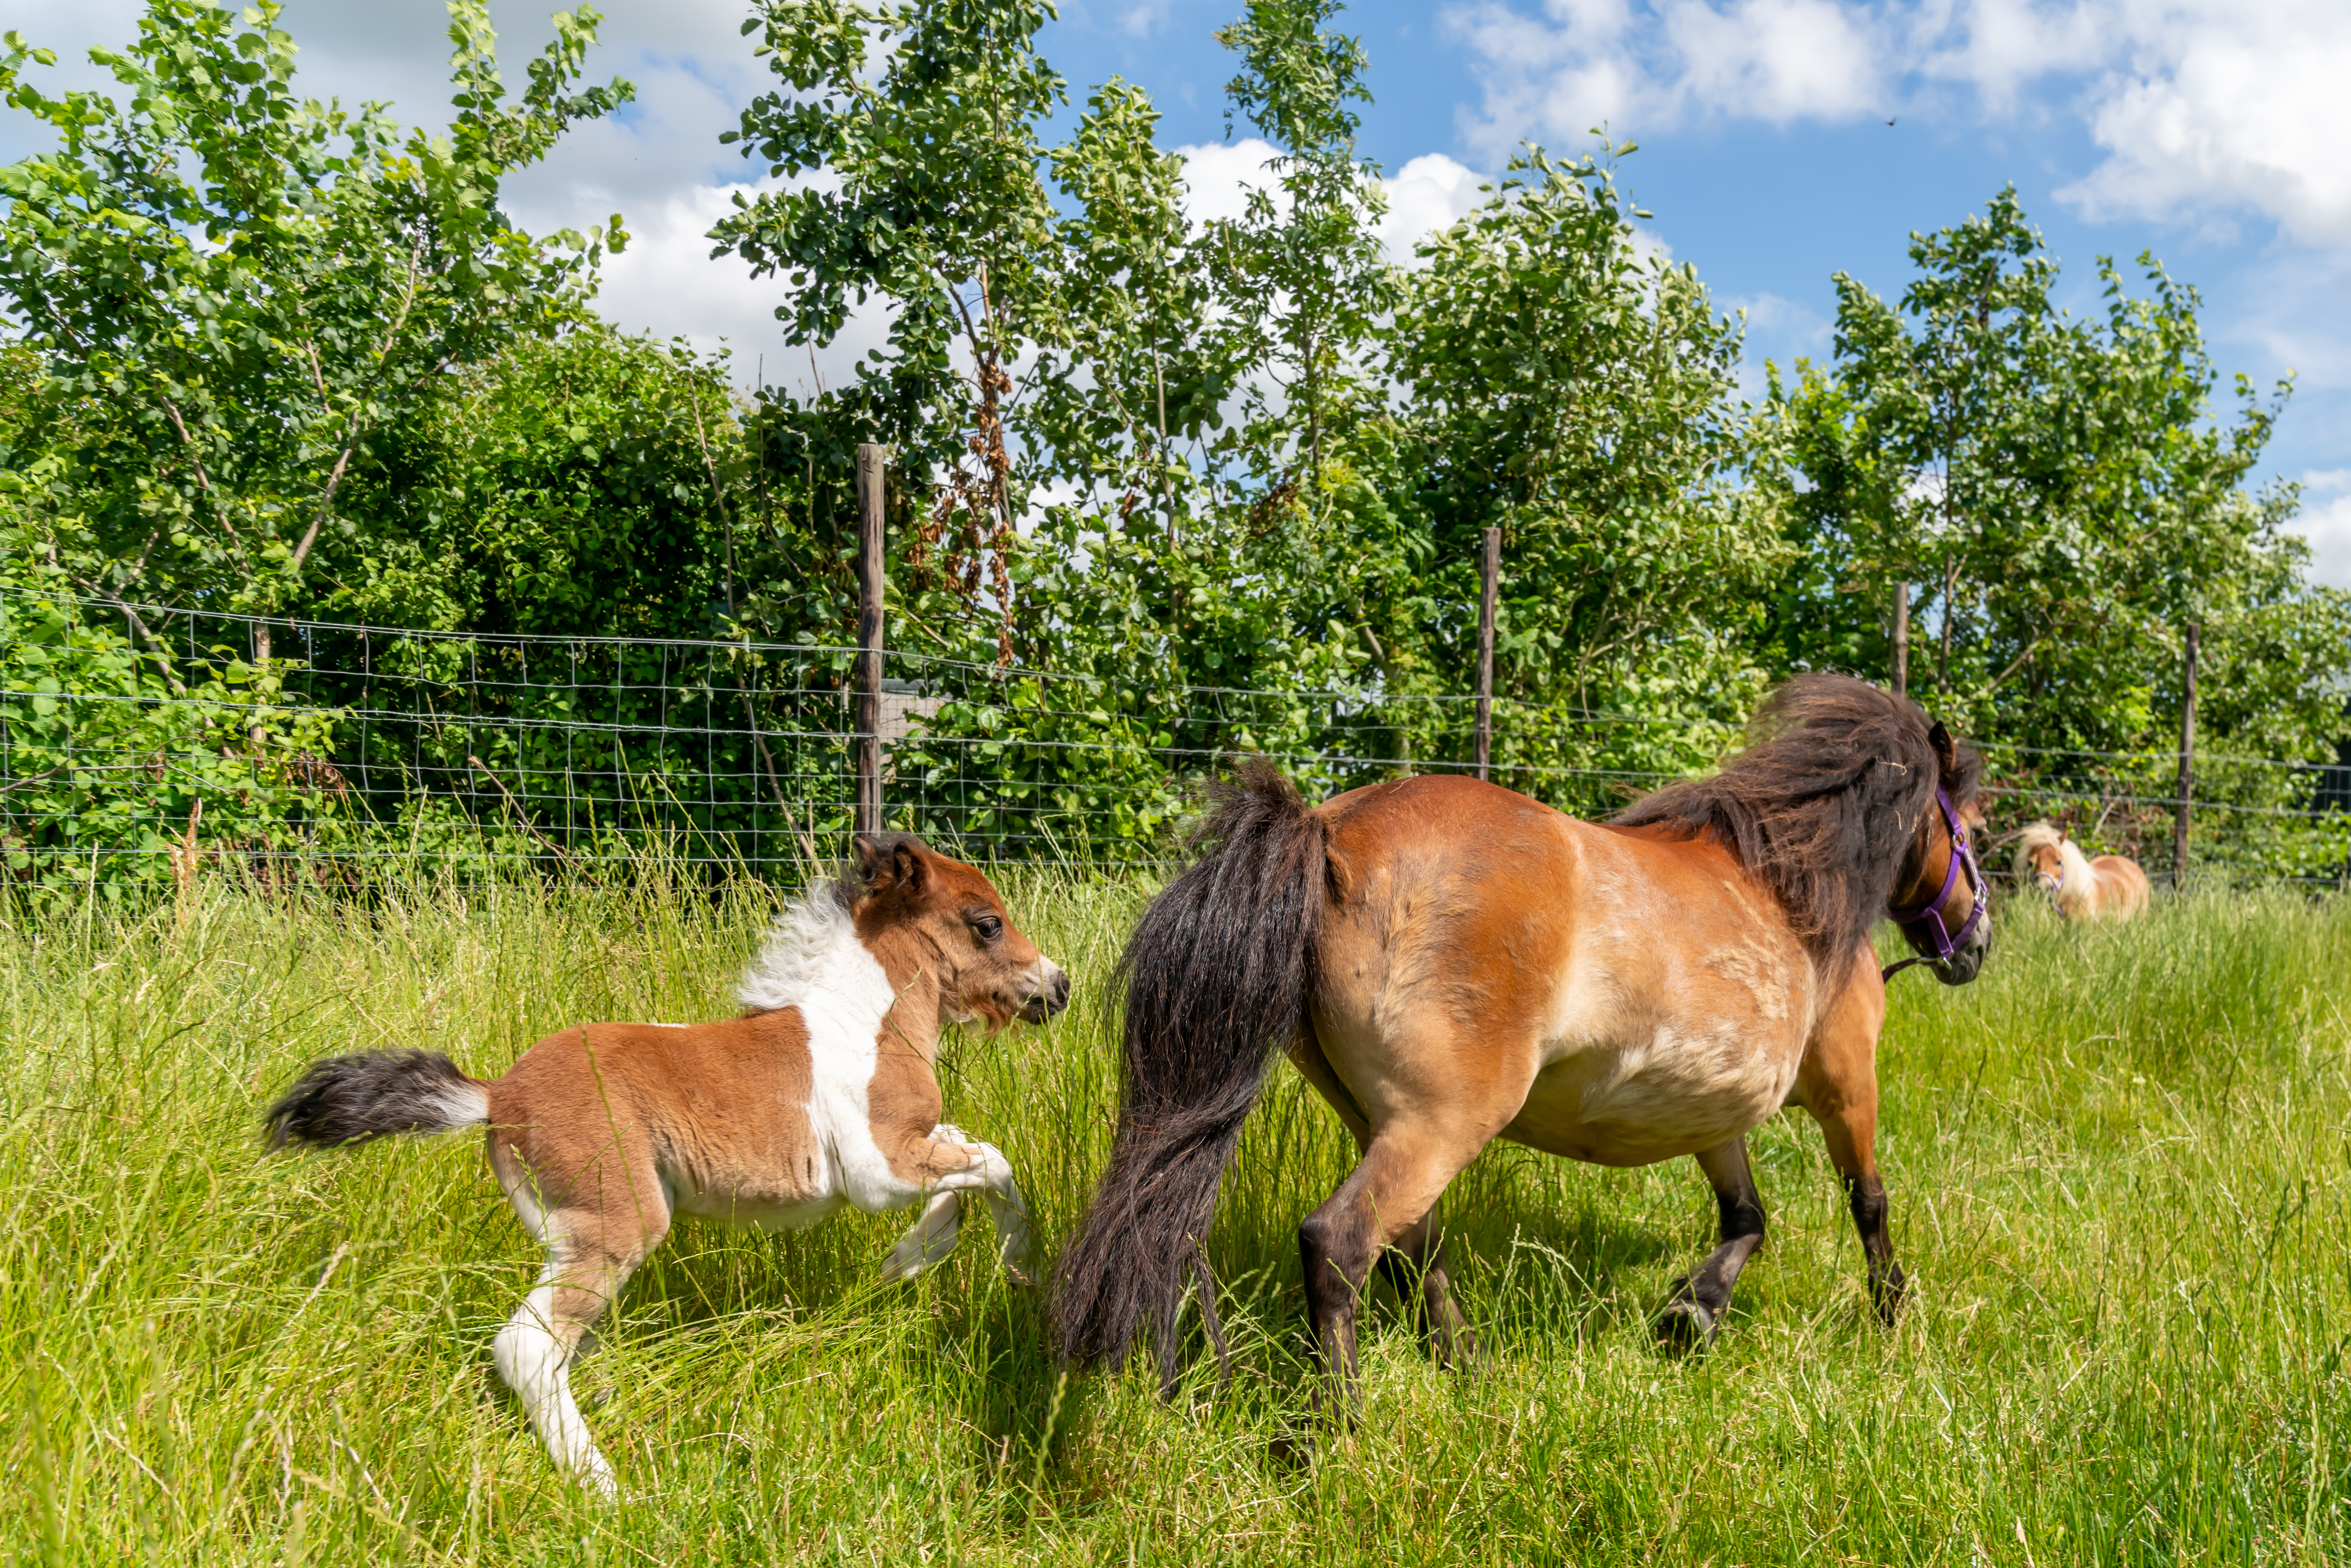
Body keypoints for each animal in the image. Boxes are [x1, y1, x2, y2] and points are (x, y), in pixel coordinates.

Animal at [263, 833, 1068, 1497]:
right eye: (986, 922)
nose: (1056, 985)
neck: (863, 1023)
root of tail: (493, 1093)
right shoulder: (875, 1169)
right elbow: (994, 1160)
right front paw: (1011, 1266)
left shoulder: (912, 1142)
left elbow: (967, 1150)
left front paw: (915, 1254)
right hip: (615, 1223)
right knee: (527, 1345)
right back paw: (605, 1487)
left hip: (566, 1235)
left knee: (561, 1348)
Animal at [1050, 675, 1990, 1404]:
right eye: (1973, 829)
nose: (1974, 945)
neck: (1792, 886)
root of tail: (1327, 830)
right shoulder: (1846, 1086)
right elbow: (1868, 1203)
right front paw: (1890, 1318)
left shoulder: (1711, 1110)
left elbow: (1747, 1216)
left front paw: (1690, 1314)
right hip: (1445, 1118)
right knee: (1338, 1243)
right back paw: (1337, 1428)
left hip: (1381, 1118)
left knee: (1410, 1244)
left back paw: (1465, 1365)